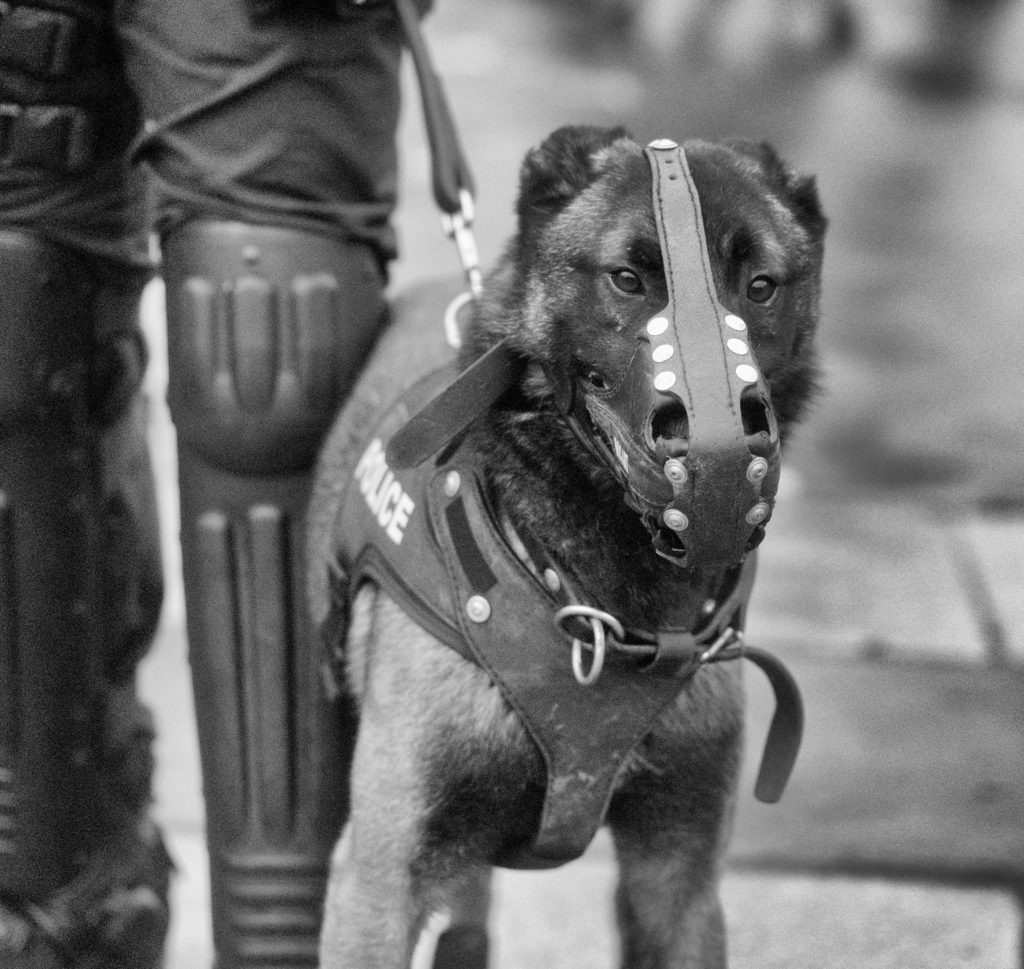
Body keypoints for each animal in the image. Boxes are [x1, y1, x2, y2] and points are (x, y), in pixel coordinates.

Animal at [305, 124, 823, 962]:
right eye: (627, 279)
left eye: (761, 286)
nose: (717, 446)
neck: (609, 610)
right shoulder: (378, 890)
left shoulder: (677, 885)